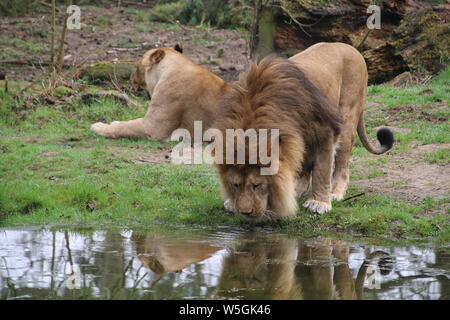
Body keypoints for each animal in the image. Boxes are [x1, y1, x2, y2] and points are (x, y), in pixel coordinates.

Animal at [90, 44, 229, 140]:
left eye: (136, 66)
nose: (130, 77)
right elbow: (128, 122)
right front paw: (113, 122)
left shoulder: (153, 127)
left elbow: (124, 127)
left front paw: (99, 126)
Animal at [214, 42, 394, 221]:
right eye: (235, 185)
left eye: (257, 185)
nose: (245, 212)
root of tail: (350, 47)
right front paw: (232, 202)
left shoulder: (326, 131)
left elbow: (322, 171)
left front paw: (319, 203)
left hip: (347, 116)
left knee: (342, 164)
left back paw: (335, 192)